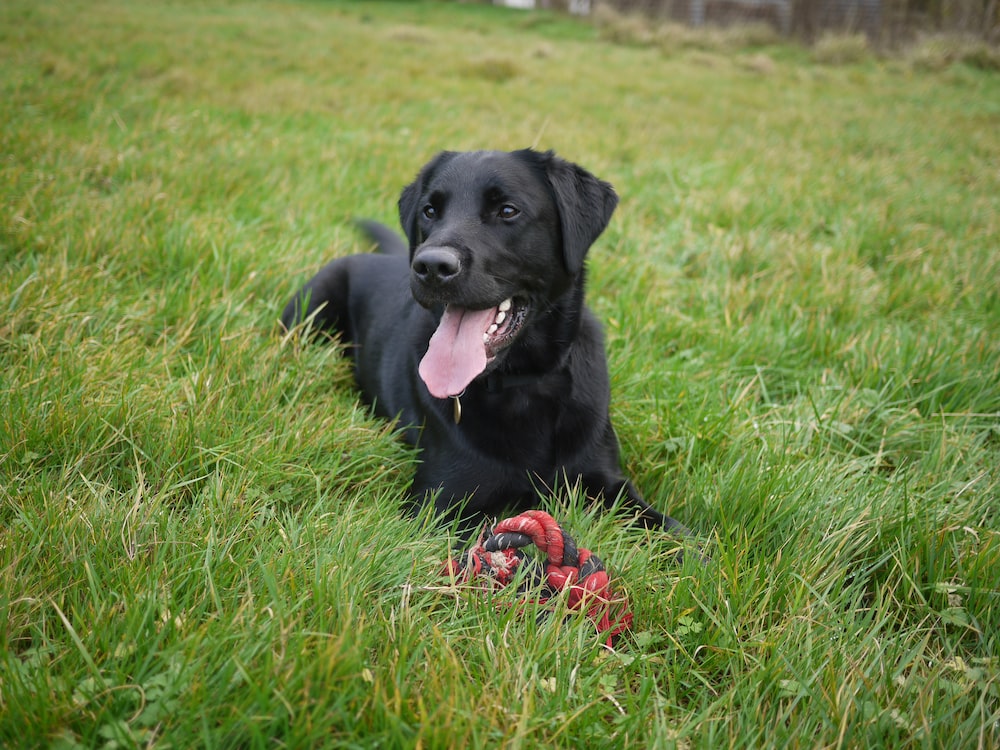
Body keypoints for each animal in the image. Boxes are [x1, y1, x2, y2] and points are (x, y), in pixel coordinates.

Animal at [280, 148, 688, 536]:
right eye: (430, 211)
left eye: (507, 211)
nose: (431, 266)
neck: (523, 385)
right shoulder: (437, 505)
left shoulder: (608, 483)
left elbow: (675, 532)